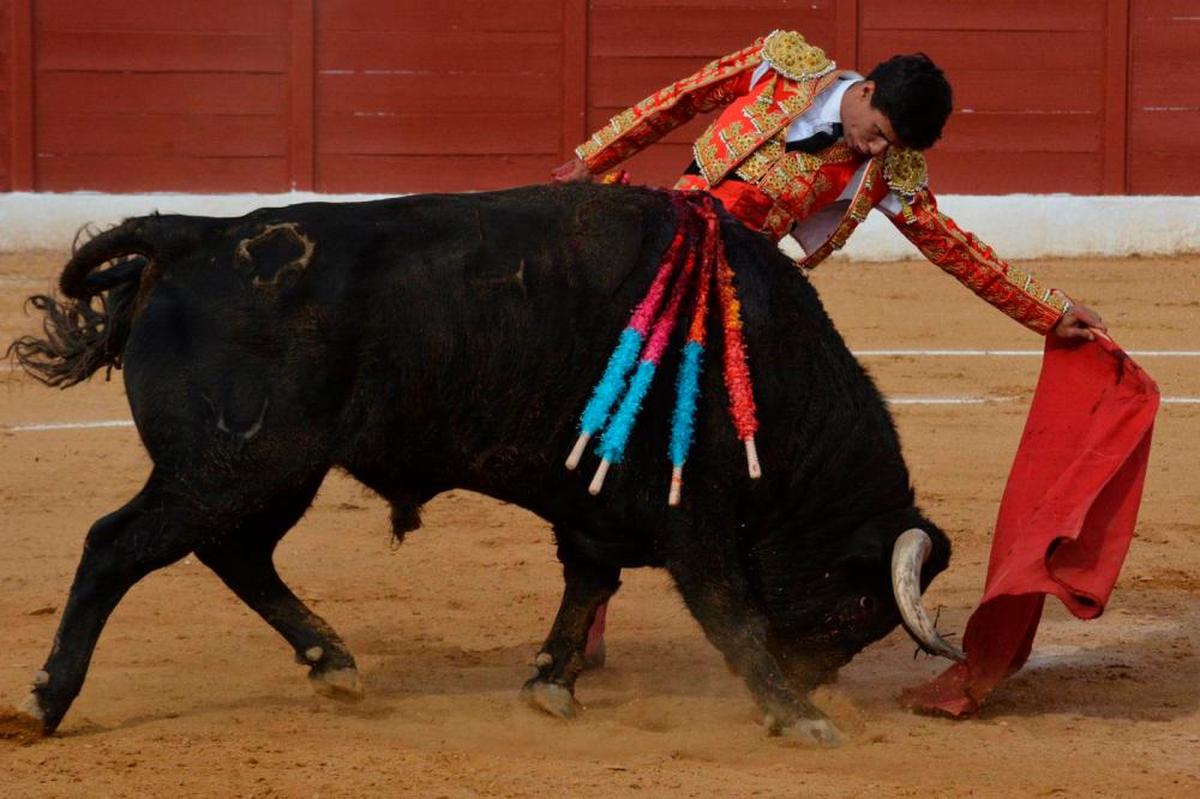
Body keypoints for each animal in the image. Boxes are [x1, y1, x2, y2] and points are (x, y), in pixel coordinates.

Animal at [4, 183, 955, 743]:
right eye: (859, 605)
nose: (819, 683)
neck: (758, 355)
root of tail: (189, 234)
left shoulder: (597, 508)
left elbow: (587, 585)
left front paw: (550, 683)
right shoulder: (697, 520)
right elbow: (731, 614)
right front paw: (796, 716)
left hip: (268, 473)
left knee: (235, 553)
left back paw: (333, 661)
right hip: (237, 464)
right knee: (117, 546)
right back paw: (45, 702)